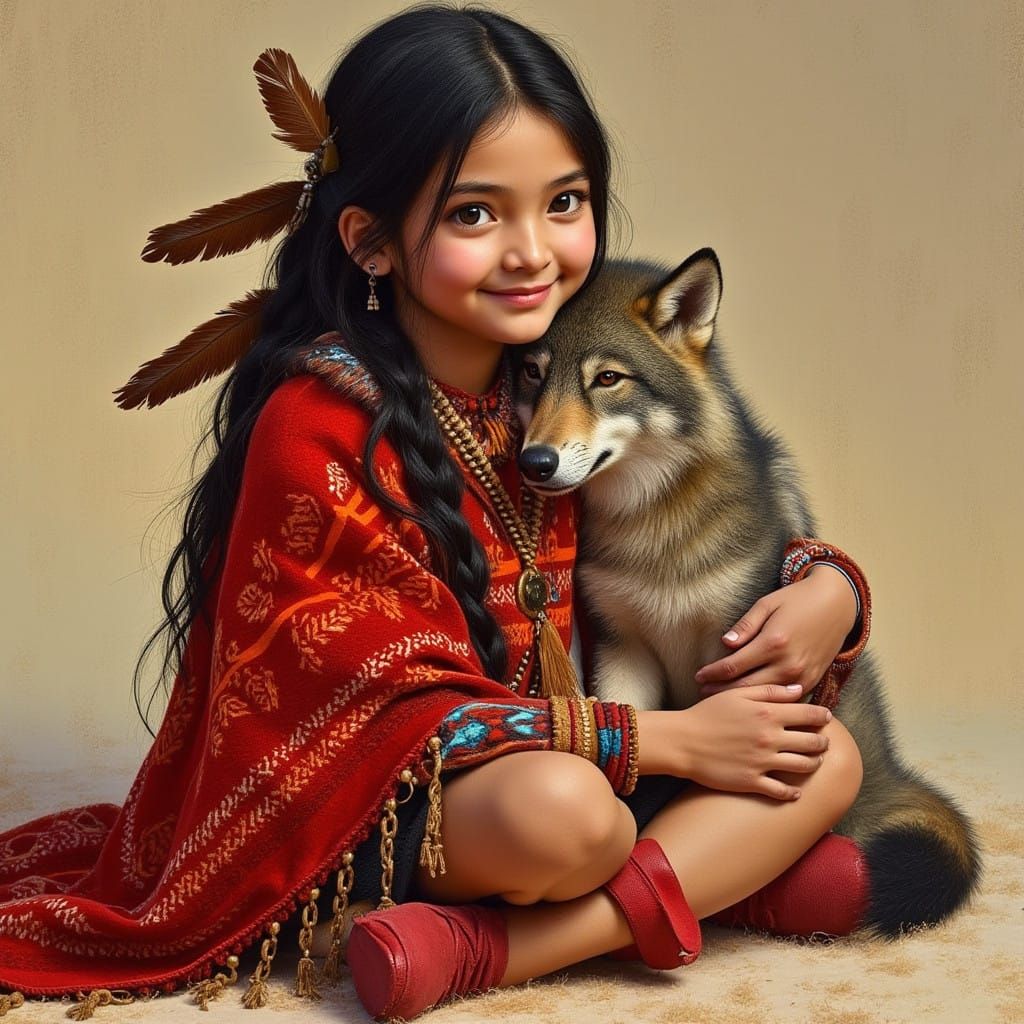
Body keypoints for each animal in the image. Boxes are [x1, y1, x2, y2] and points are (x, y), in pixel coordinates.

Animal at [515, 247, 981, 937]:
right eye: (531, 374)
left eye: (607, 379)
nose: (535, 462)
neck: (654, 531)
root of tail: (892, 773)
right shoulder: (626, 649)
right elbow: (638, 756)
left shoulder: (737, 655)